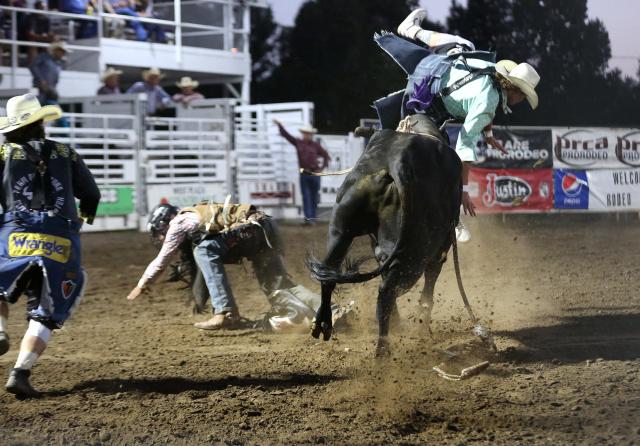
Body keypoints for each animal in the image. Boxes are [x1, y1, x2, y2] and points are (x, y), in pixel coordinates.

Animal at [308, 122, 462, 356]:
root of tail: (395, 163)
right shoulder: (441, 248)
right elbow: (429, 288)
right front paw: (422, 328)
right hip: (416, 254)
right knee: (389, 291)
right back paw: (383, 353)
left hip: (341, 228)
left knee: (329, 274)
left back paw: (324, 322)